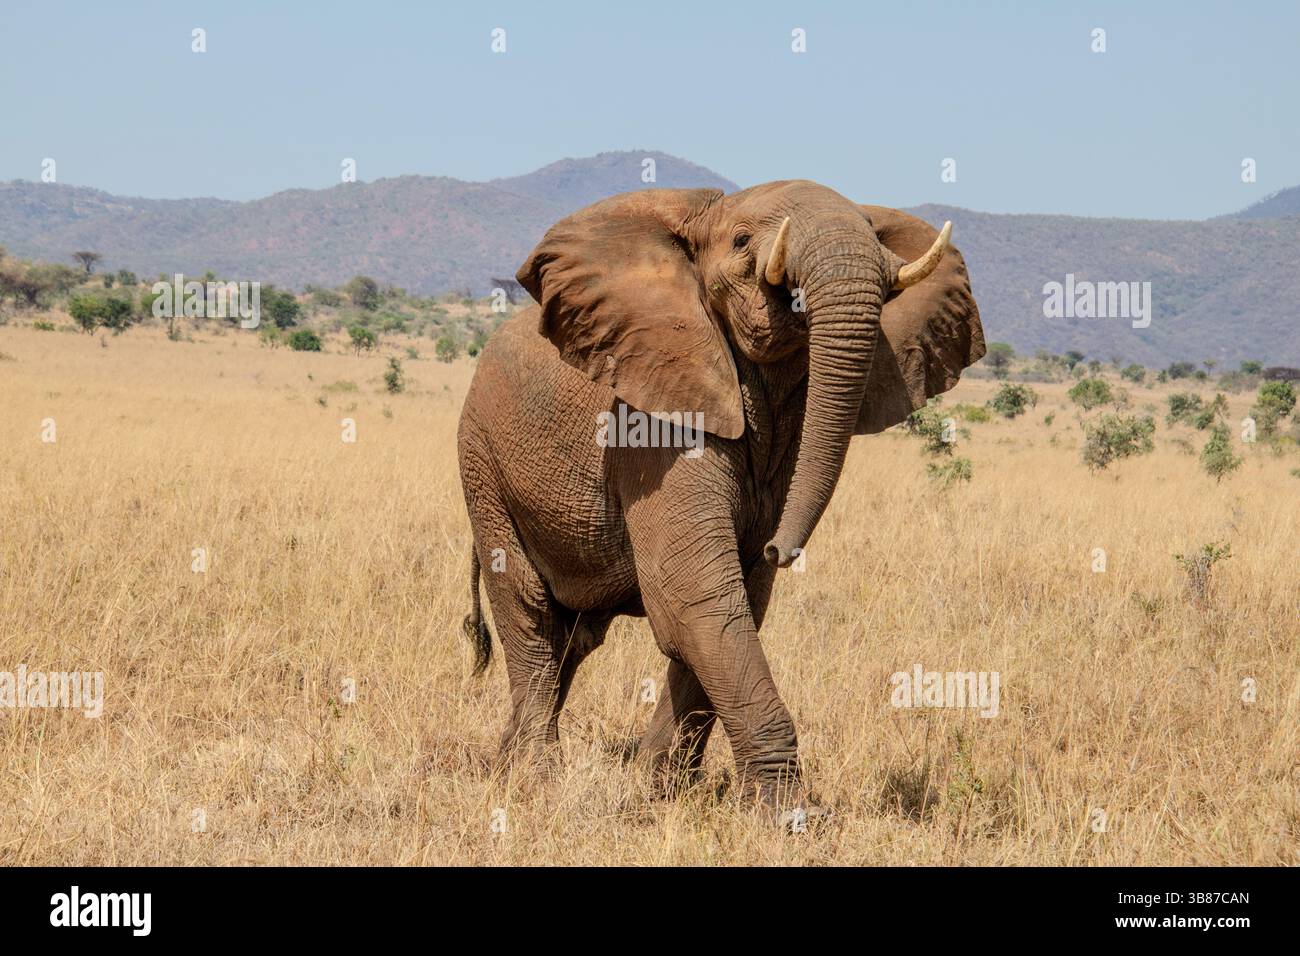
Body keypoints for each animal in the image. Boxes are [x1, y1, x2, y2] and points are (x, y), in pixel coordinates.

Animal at [457, 179, 984, 810]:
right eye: (740, 241)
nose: (780, 550)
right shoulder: (652, 423)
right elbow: (692, 595)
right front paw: (785, 813)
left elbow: (734, 606)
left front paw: (660, 787)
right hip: (482, 466)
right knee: (530, 615)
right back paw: (536, 779)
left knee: (574, 642)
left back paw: (504, 762)